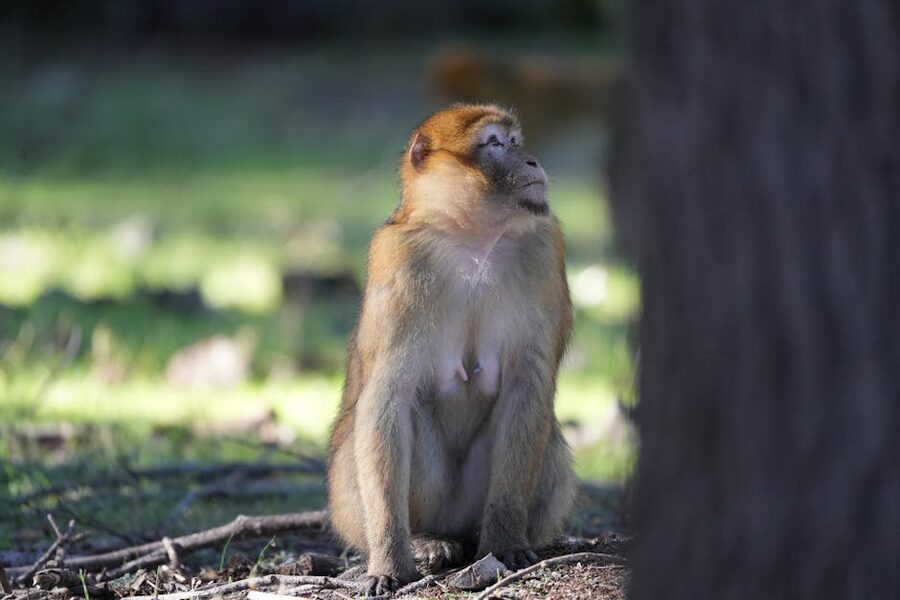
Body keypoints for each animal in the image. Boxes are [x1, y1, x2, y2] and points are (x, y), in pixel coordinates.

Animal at [326, 104, 575, 596]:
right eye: (495, 143)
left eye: (515, 141)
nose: (532, 161)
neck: (473, 236)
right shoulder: (398, 258)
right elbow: (387, 400)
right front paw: (389, 561)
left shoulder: (544, 247)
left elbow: (526, 385)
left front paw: (505, 540)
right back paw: (426, 540)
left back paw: (477, 540)